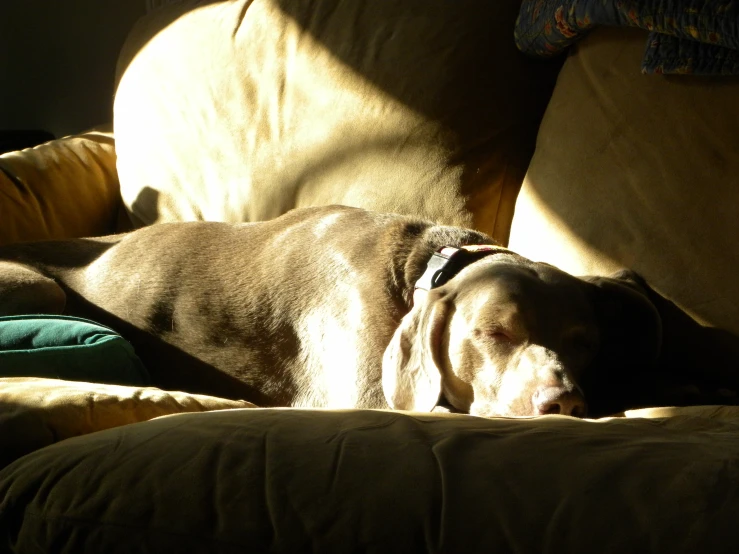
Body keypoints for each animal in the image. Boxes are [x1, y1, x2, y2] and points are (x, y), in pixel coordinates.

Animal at [0, 204, 664, 414]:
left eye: (585, 341)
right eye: (491, 333)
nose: (565, 404)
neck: (427, 263)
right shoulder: (371, 396)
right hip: (40, 288)